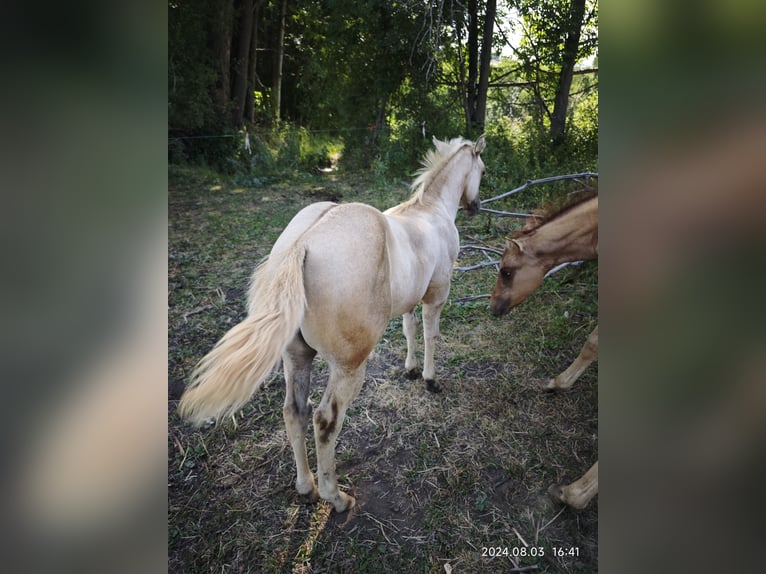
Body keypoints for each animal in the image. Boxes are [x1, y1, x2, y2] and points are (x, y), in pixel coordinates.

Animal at [180, 135, 486, 512]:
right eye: (482, 169)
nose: (475, 206)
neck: (429, 211)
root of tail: (302, 244)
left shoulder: (410, 299)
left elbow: (410, 329)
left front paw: (411, 369)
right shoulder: (437, 292)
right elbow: (430, 333)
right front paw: (430, 378)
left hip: (296, 357)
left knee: (294, 411)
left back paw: (306, 486)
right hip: (348, 367)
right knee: (325, 420)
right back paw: (336, 497)